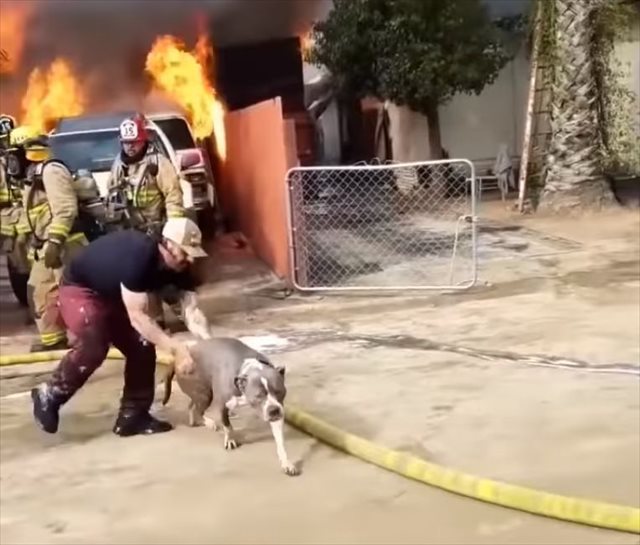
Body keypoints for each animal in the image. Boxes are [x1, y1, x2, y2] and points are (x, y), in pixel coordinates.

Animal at [161, 338, 298, 474]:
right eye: (258, 396)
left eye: (279, 391)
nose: (274, 410)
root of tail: (177, 359)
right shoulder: (222, 405)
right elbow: (227, 426)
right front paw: (230, 440)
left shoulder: (277, 411)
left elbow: (280, 442)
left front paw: (286, 462)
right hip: (205, 395)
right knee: (199, 411)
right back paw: (209, 423)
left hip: (199, 393)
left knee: (191, 406)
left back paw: (194, 421)